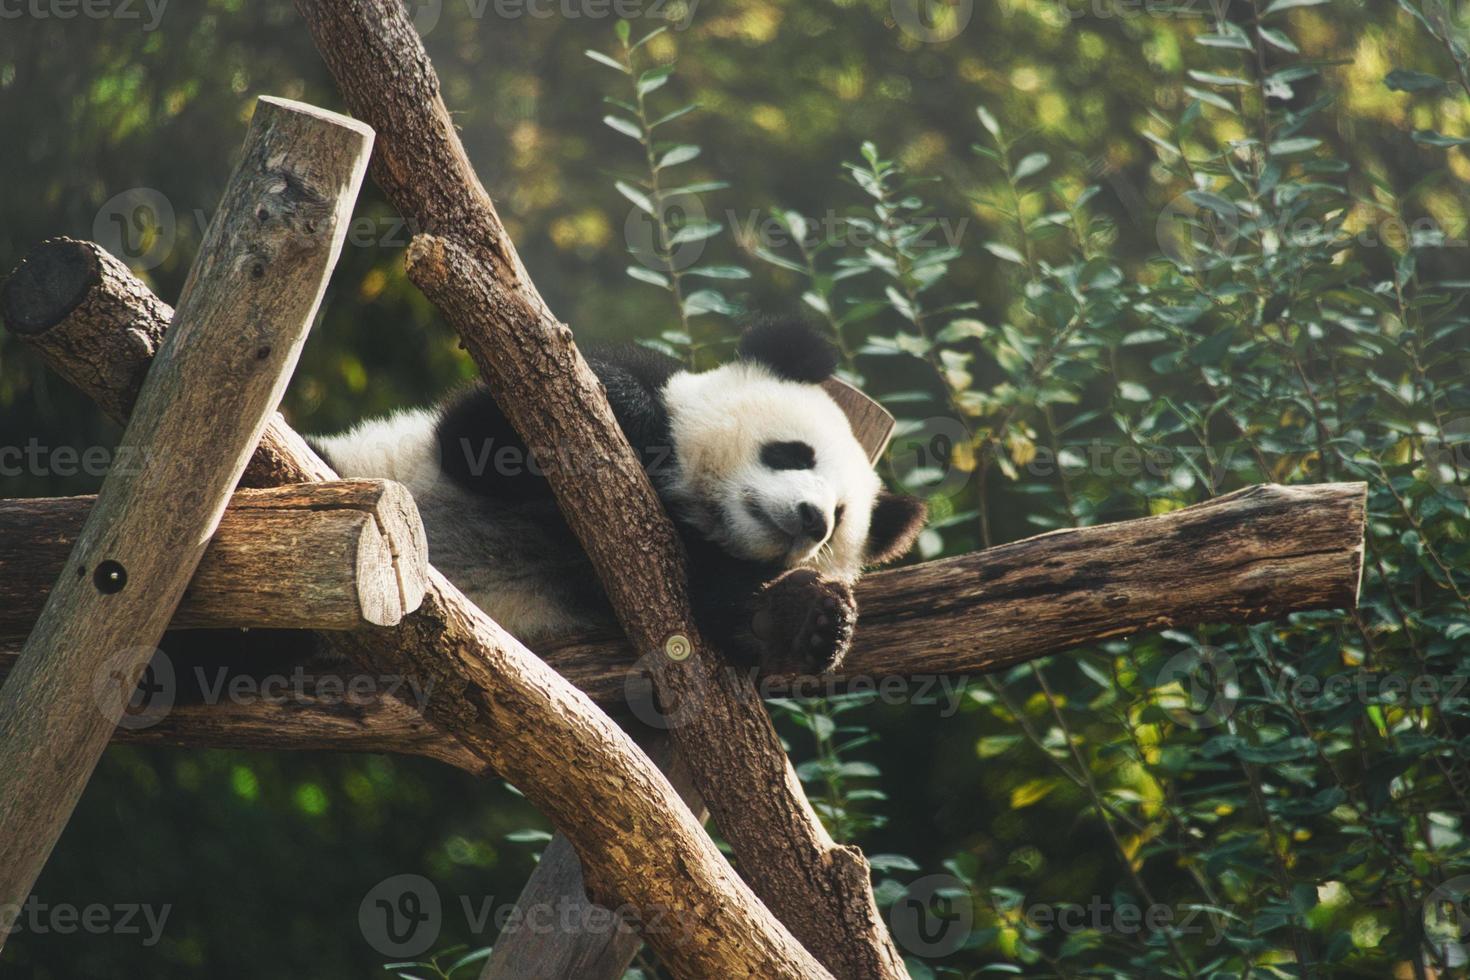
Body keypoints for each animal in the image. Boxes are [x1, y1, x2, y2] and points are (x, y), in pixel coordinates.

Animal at [316, 321, 923, 675]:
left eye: (840, 518)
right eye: (793, 453)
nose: (812, 519)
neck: (692, 511)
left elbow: (724, 611)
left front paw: (807, 619)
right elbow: (486, 436)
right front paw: (646, 431)